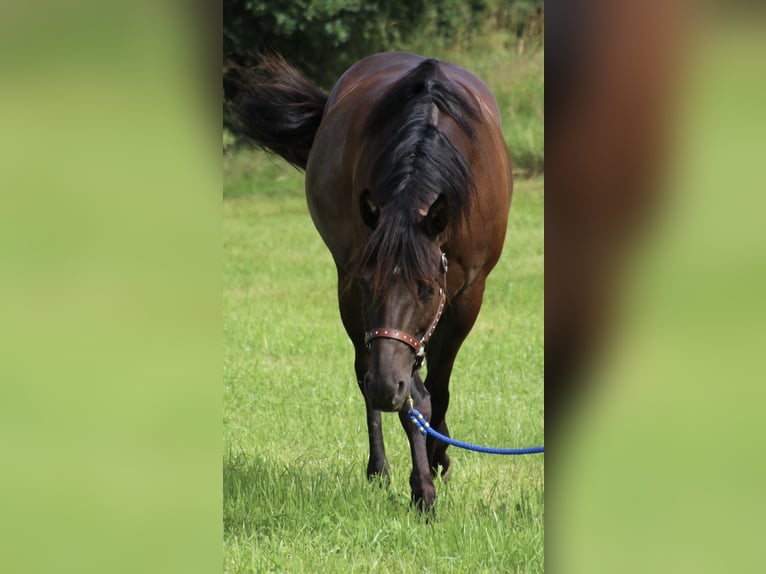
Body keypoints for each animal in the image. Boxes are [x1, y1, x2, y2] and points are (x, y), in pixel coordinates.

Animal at [231, 51, 512, 510]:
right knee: (365, 373)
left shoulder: (468, 295)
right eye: (368, 285)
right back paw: (379, 468)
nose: (386, 385)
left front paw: (437, 458)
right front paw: (422, 488)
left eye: (427, 290)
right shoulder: (361, 296)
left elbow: (438, 389)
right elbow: (415, 401)